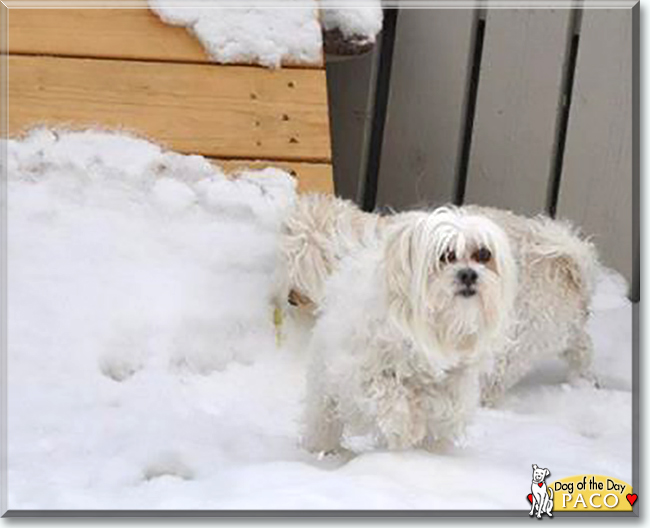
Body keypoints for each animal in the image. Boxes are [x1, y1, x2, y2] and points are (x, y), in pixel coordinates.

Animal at [280, 194, 596, 408]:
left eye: (296, 277)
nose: (290, 299)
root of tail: (569, 266)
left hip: (516, 338)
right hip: (562, 332)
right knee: (581, 349)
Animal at [298, 206, 516, 454]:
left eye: (483, 254)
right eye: (446, 256)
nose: (469, 274)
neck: (437, 328)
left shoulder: (454, 383)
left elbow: (443, 412)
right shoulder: (363, 371)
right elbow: (390, 397)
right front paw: (406, 431)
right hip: (324, 382)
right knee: (324, 417)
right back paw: (324, 449)